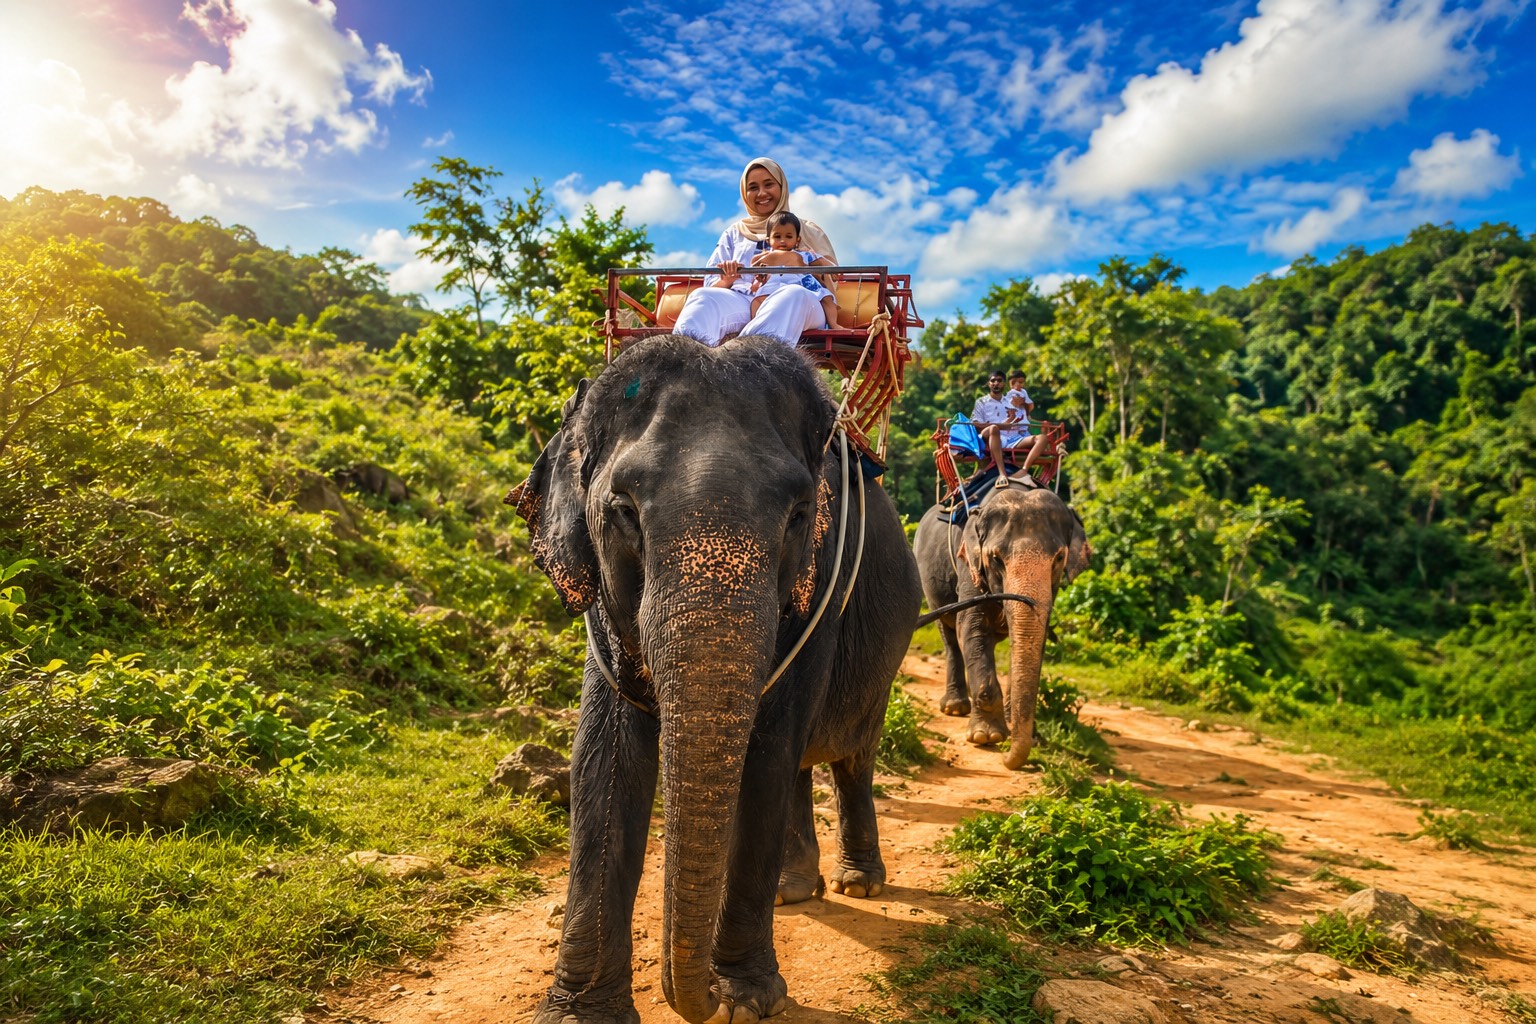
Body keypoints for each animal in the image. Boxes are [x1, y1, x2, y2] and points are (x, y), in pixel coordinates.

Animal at [509, 334, 922, 1024]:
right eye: (624, 510)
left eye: (799, 514)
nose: (693, 1000)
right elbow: (603, 758)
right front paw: (579, 1014)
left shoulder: (821, 588)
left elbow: (769, 744)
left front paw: (744, 1001)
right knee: (803, 765)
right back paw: (794, 892)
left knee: (849, 756)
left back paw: (857, 882)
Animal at [912, 481, 1089, 769]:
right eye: (995, 558)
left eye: (1059, 558)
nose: (1007, 758)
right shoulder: (968, 564)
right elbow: (970, 625)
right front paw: (987, 737)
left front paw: (1023, 733)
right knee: (950, 636)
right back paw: (955, 708)